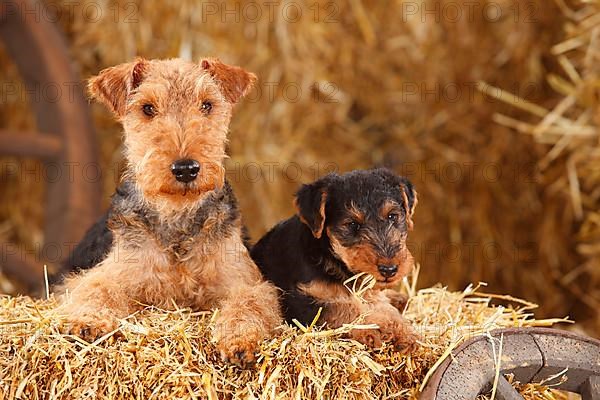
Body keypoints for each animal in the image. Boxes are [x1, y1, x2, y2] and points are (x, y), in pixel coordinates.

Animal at [251, 168, 420, 350]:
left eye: (392, 216)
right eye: (352, 224)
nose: (389, 270)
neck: (330, 256)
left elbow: (382, 306)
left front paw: (406, 333)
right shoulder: (298, 302)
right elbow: (345, 308)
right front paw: (373, 328)